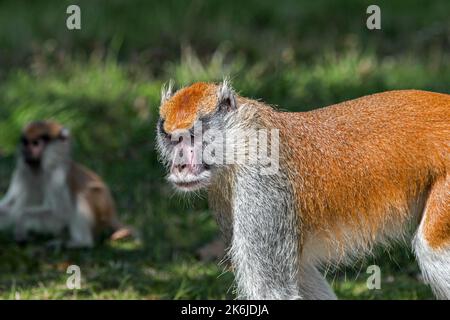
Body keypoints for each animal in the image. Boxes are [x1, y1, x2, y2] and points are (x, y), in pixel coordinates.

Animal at [0, 120, 134, 248]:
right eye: (25, 143)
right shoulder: (21, 173)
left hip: (100, 212)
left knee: (81, 194)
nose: (26, 152)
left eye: (36, 143)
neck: (40, 169)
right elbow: (9, 205)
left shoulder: (57, 176)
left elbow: (61, 213)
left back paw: (81, 243)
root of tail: (111, 212)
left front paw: (20, 221)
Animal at [156, 80, 448, 300]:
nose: (180, 165)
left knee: (432, 250)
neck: (242, 139)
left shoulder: (262, 188)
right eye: (172, 139)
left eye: (193, 136)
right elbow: (302, 275)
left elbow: (273, 290)